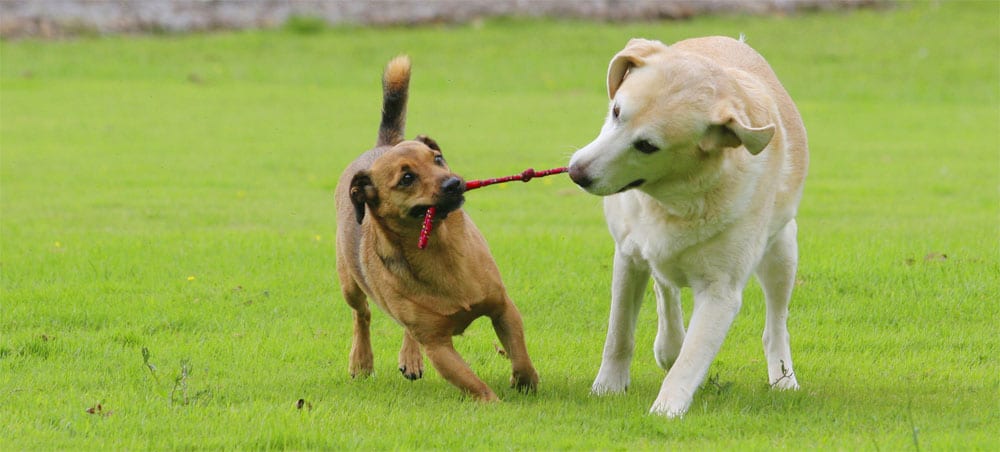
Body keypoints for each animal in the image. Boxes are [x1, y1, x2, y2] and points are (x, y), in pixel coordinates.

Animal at [334, 55, 540, 400]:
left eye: (438, 158)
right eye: (407, 178)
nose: (454, 183)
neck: (439, 248)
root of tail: (384, 144)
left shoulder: (503, 308)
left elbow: (521, 354)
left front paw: (525, 382)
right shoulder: (437, 345)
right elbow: (473, 383)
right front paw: (494, 402)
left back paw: (409, 358)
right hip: (349, 282)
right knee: (361, 315)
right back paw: (362, 360)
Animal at [568, 37, 808, 418]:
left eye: (647, 146)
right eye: (617, 111)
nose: (577, 173)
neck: (676, 200)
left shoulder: (720, 292)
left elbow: (691, 360)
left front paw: (666, 409)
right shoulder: (629, 256)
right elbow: (619, 333)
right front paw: (607, 387)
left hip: (782, 251)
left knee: (775, 325)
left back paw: (783, 377)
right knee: (665, 287)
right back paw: (669, 344)